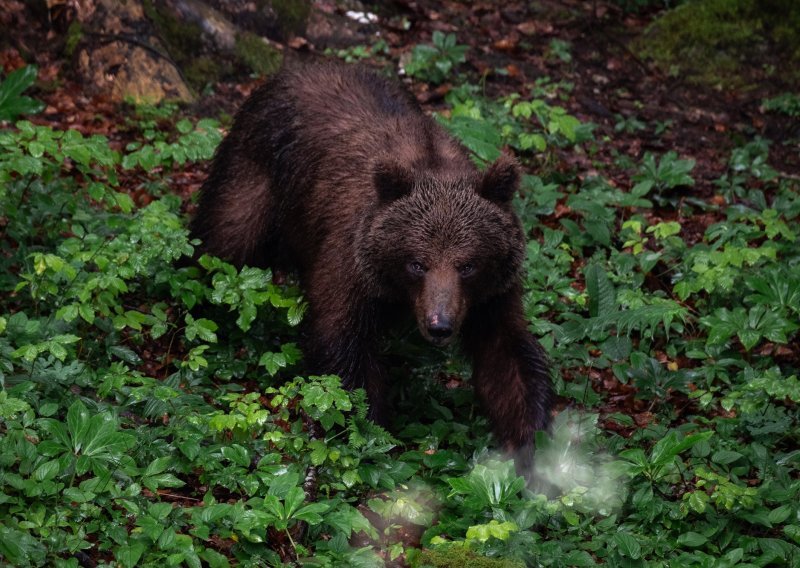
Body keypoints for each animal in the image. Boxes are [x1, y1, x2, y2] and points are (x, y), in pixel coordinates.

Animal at [192, 62, 556, 462]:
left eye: (468, 265)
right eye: (417, 263)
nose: (440, 325)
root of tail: (292, 69)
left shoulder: (490, 296)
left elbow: (508, 356)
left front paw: (531, 442)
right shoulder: (351, 264)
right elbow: (344, 350)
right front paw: (373, 433)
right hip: (256, 173)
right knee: (225, 239)